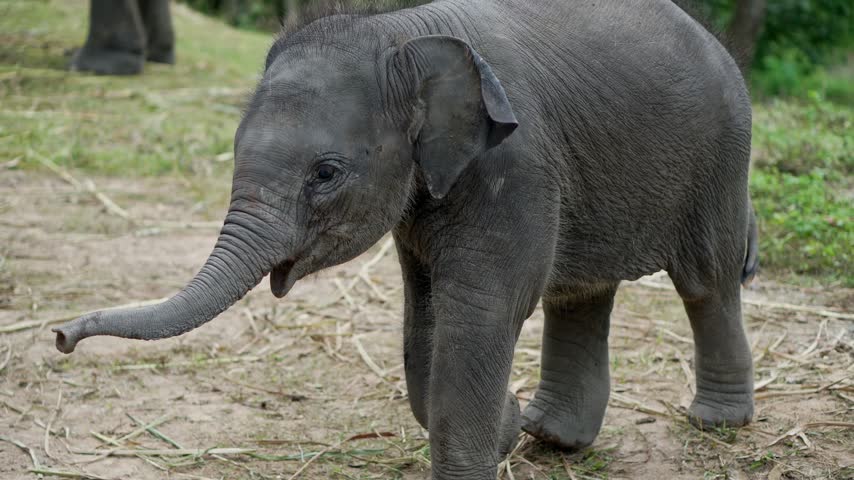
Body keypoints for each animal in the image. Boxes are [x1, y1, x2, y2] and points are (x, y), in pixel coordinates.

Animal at [53, 0, 760, 478]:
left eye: (325, 173)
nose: (60, 335)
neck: (400, 33)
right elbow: (424, 317)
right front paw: (506, 424)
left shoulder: (516, 164)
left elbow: (480, 312)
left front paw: (492, 433)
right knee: (581, 292)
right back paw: (552, 438)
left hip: (722, 157)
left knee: (707, 281)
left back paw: (716, 423)